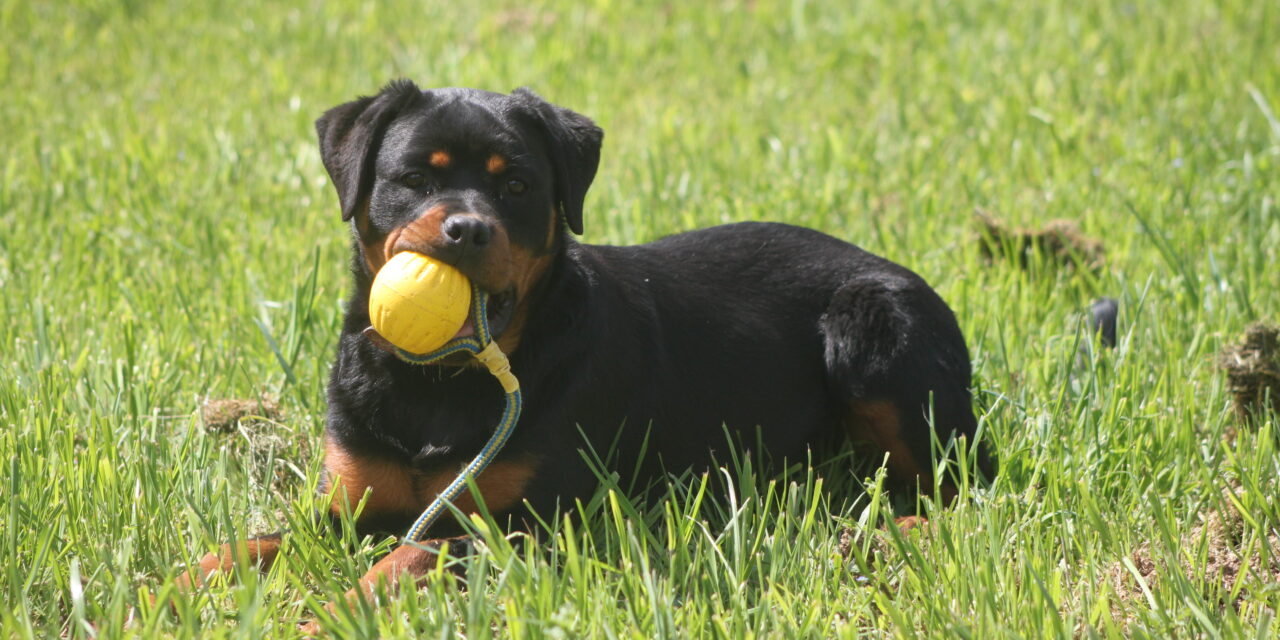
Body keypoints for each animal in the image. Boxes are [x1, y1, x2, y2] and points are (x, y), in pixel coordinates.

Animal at [177, 81, 977, 614]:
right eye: (413, 178)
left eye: (518, 187)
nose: (467, 228)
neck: (440, 384)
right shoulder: (348, 502)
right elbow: (262, 540)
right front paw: (181, 582)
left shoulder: (529, 522)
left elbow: (419, 551)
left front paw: (342, 604)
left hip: (872, 324)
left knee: (961, 482)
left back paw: (889, 532)